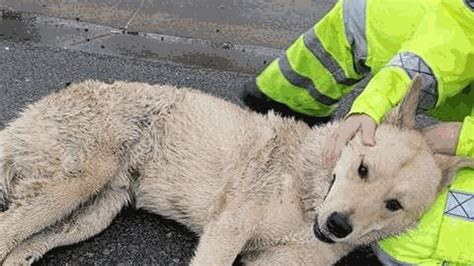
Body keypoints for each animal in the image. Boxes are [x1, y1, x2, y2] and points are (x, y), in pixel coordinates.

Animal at [0, 75, 472, 266]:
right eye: (362, 169)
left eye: (394, 205)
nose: (338, 226)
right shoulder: (226, 232)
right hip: (78, 182)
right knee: (9, 228)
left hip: (92, 214)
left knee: (23, 244)